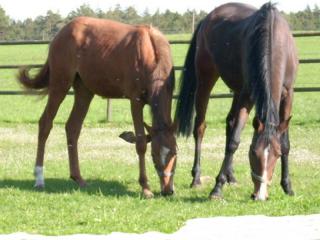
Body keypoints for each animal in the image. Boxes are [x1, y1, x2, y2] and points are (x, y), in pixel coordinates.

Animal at [18, 16, 176, 197]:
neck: (151, 53)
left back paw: (78, 178)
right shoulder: (135, 101)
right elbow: (141, 143)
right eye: (154, 156)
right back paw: (39, 178)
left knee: (72, 127)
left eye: (175, 152)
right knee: (45, 123)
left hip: (84, 91)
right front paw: (145, 187)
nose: (167, 190)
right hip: (60, 83)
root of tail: (61, 33)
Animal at [174, 2, 298, 200]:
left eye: (276, 155)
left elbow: (285, 143)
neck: (273, 40)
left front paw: (287, 186)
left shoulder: (287, 95)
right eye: (253, 152)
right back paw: (197, 178)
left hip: (237, 90)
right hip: (206, 80)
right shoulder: (247, 95)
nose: (259, 195)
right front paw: (217, 188)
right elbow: (234, 141)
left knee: (230, 122)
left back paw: (230, 176)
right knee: (200, 128)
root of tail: (208, 17)